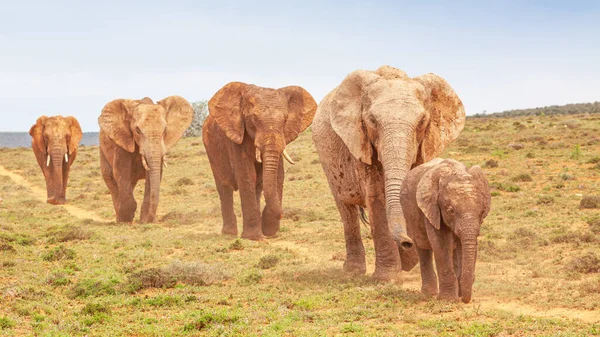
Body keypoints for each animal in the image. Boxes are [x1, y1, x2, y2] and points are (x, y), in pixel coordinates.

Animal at [204, 81, 318, 239]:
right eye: (254, 119)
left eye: (285, 120)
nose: (282, 214)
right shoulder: (236, 136)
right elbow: (247, 175)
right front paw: (254, 238)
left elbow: (278, 175)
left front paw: (269, 232)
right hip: (211, 151)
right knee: (224, 188)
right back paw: (229, 234)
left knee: (256, 188)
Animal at [312, 65, 466, 280]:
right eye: (372, 120)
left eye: (422, 121)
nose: (407, 242)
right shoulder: (361, 143)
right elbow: (376, 198)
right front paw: (388, 279)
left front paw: (408, 262)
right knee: (346, 209)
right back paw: (353, 271)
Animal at [398, 158, 492, 302]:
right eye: (451, 211)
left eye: (482, 212)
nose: (464, 299)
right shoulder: (432, 207)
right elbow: (442, 243)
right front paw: (448, 299)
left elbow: (463, 245)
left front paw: (459, 294)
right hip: (409, 211)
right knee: (422, 247)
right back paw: (429, 293)